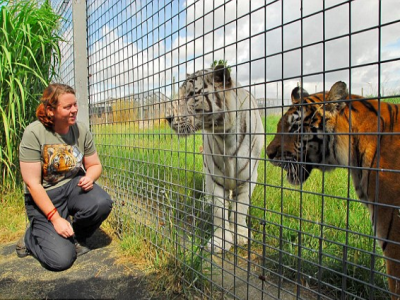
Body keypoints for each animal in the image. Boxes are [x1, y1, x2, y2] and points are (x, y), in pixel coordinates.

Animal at [166, 65, 266, 253]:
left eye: (192, 95)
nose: (167, 118)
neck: (225, 135)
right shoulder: (215, 177)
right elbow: (220, 211)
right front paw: (220, 241)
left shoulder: (249, 178)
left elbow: (241, 209)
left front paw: (241, 236)